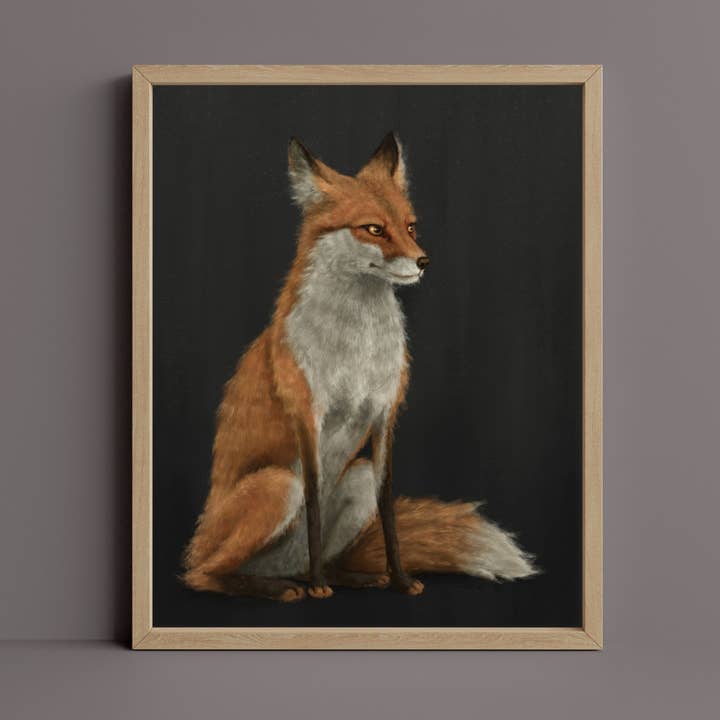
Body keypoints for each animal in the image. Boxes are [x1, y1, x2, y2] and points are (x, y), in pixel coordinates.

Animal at [182, 132, 536, 602]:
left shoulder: (385, 414)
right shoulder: (308, 417)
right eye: (373, 229)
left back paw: (350, 577)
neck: (358, 347)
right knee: (203, 574)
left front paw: (400, 579)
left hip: (358, 477)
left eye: (410, 227)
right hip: (278, 485)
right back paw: (281, 586)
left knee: (316, 558)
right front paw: (319, 588)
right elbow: (314, 506)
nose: (423, 261)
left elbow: (388, 512)